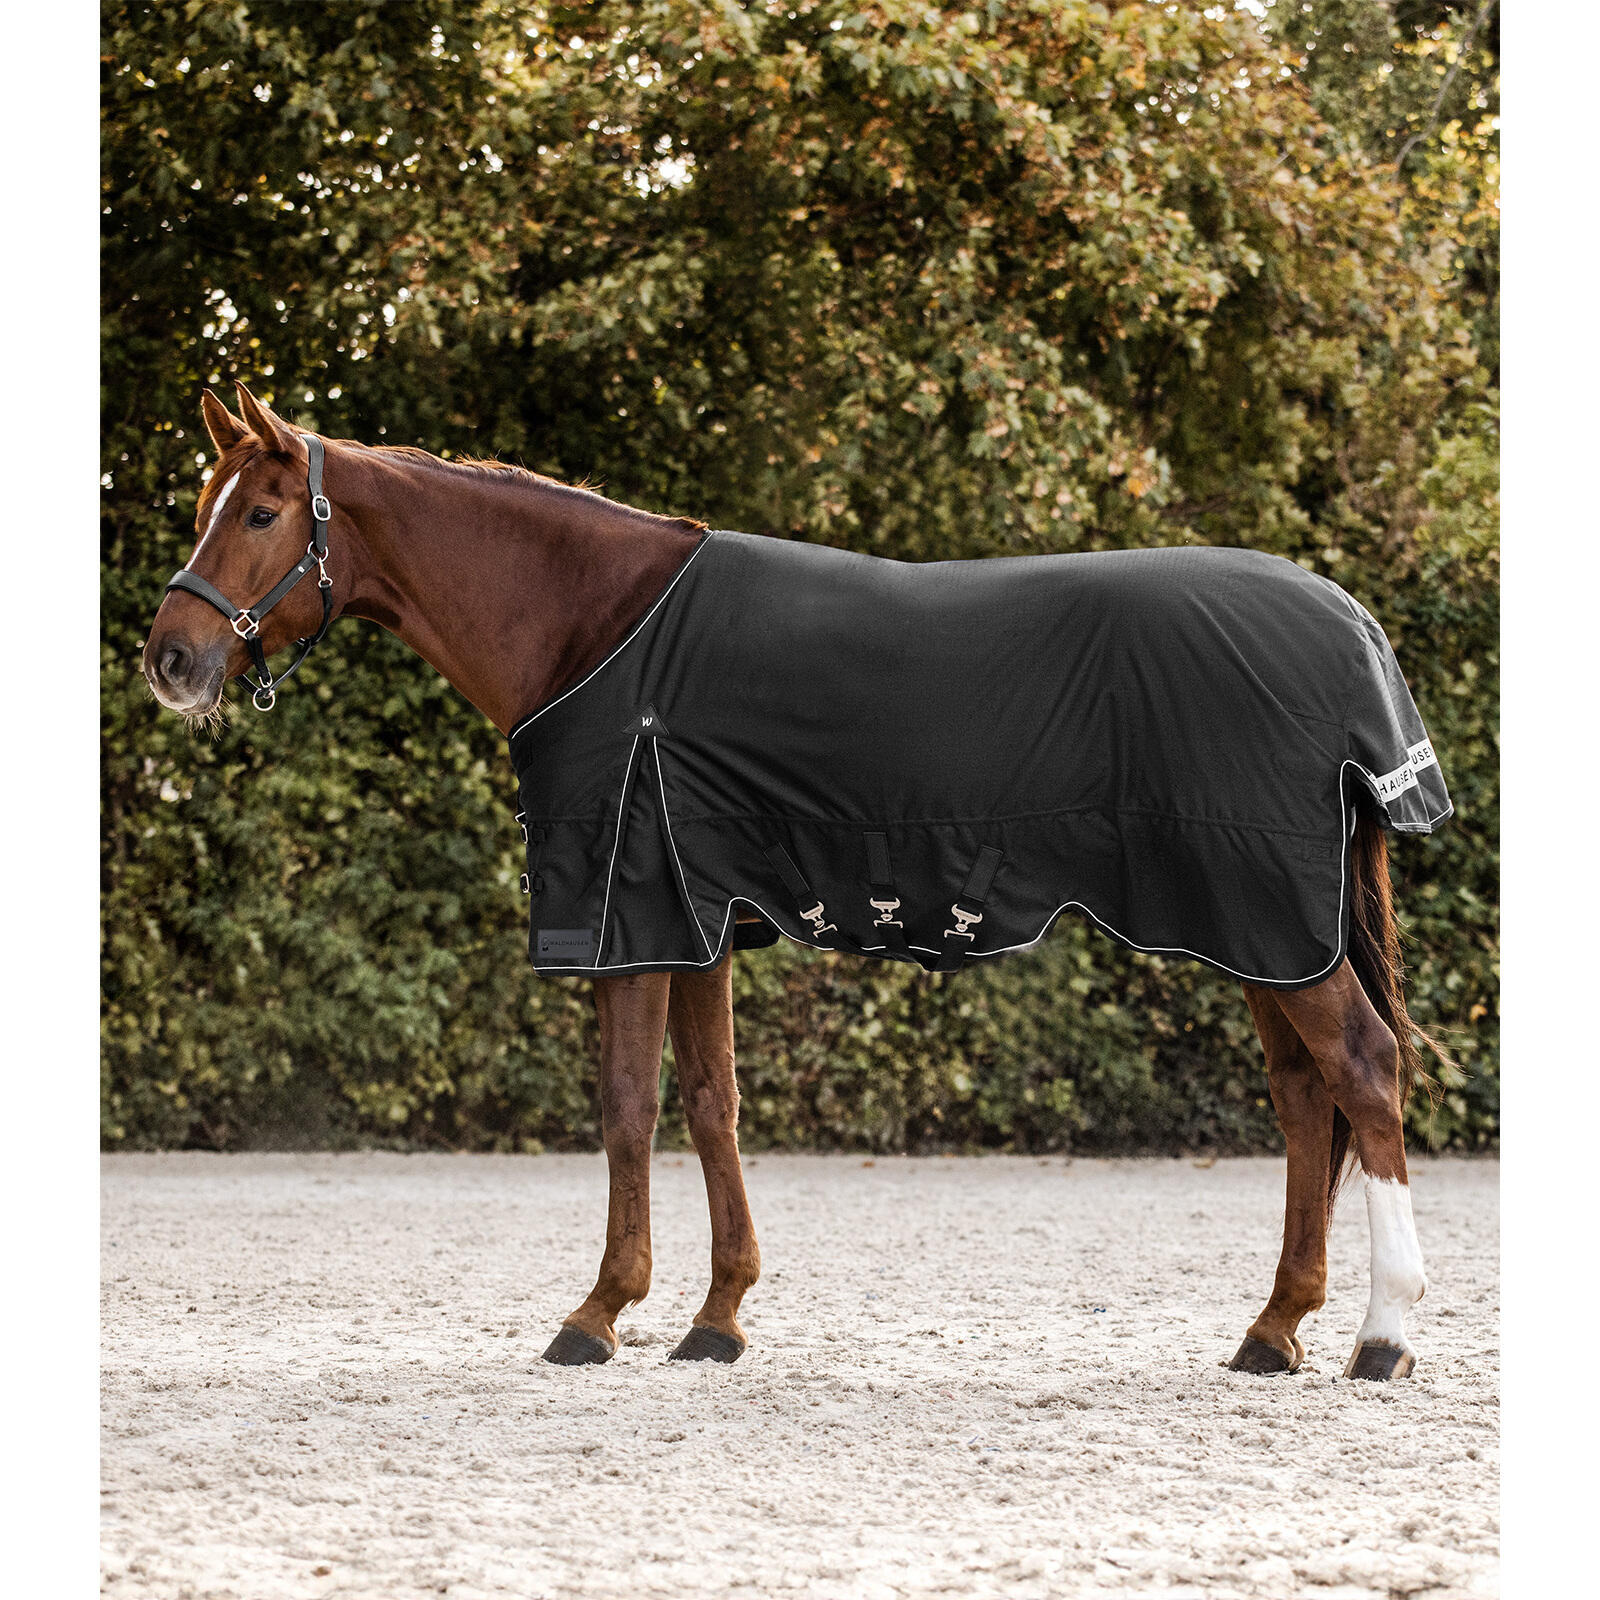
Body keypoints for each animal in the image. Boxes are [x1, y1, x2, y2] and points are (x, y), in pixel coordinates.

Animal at [142, 382, 1445, 1382]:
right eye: (205, 508)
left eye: (261, 512)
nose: (171, 659)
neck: (594, 625)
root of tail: (1347, 625)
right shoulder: (699, 921)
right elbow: (711, 1104)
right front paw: (715, 1318)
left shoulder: (630, 913)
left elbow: (626, 1108)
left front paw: (596, 1313)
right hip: (1264, 930)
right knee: (1303, 1098)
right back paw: (1274, 1329)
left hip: (1270, 917)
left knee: (1363, 1069)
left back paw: (1381, 1336)